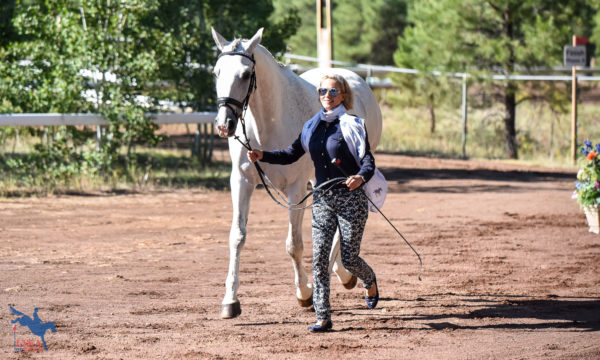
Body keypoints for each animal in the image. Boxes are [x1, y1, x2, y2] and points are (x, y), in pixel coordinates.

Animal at [211, 27, 380, 318]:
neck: (268, 121)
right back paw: (342, 273)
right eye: (216, 72)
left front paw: (304, 293)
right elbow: (237, 237)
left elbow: (294, 244)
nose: (224, 125)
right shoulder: (242, 181)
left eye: (244, 74)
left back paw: (336, 276)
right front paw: (230, 301)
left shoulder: (295, 188)